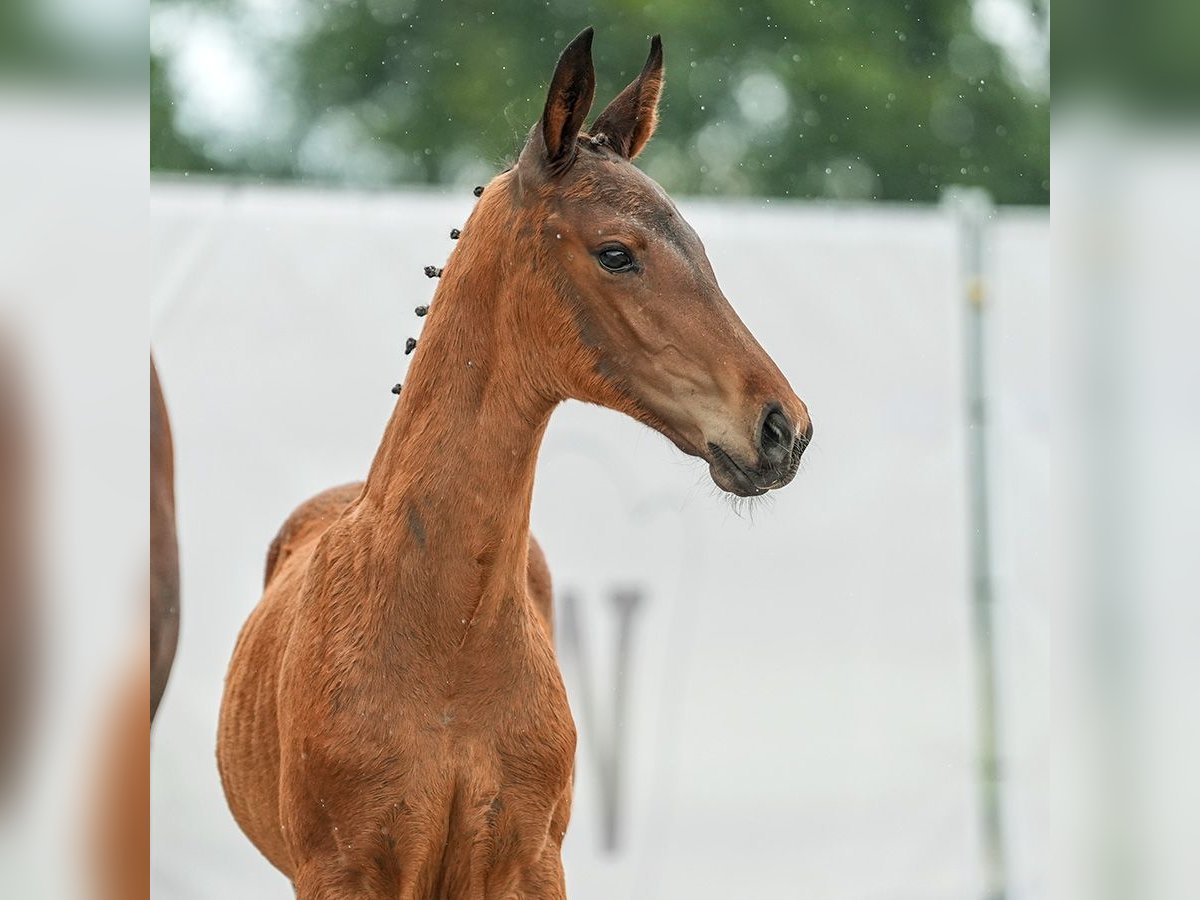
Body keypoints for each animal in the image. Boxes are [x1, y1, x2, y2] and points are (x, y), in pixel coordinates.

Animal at [220, 28, 811, 900]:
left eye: (701, 247)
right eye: (616, 253)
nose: (782, 428)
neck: (450, 641)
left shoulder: (529, 863)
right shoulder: (344, 870)